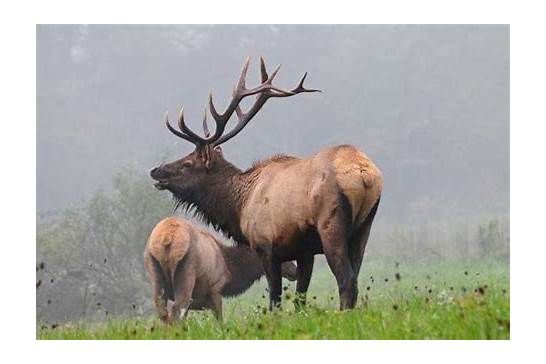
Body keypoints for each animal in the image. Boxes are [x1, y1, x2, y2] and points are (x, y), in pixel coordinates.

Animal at [142, 216, 296, 322]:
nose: (294, 269)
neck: (231, 270)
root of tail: (167, 237)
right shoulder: (216, 289)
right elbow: (220, 321)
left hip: (155, 270)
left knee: (163, 311)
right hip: (186, 272)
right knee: (176, 310)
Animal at [150, 57, 382, 310]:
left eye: (188, 163)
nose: (156, 170)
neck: (240, 205)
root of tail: (365, 174)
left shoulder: (266, 246)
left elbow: (275, 299)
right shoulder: (305, 252)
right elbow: (300, 298)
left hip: (331, 224)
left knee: (346, 279)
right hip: (364, 227)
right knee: (356, 277)